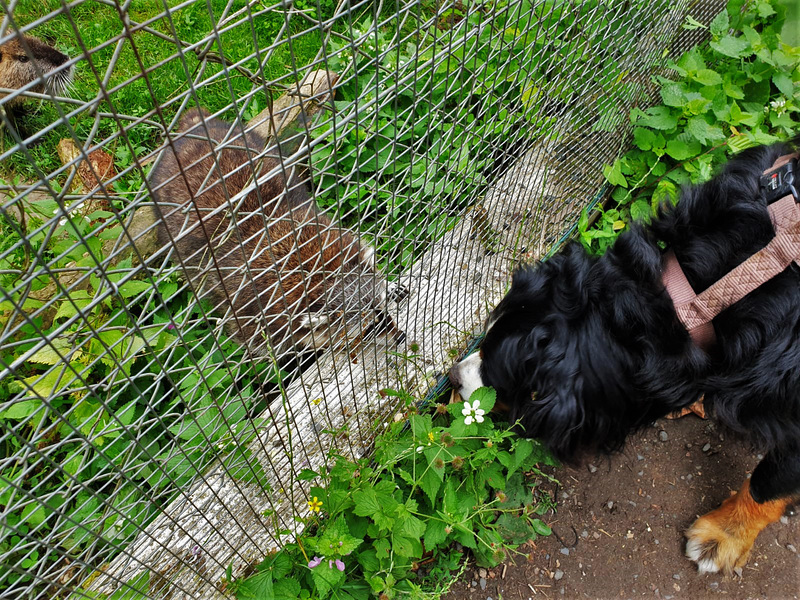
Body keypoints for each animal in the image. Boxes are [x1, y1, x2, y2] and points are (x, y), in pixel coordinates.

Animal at [148, 108, 406, 358]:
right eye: (370, 328)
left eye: (382, 309)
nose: (401, 337)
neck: (321, 275)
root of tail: (193, 129)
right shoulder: (251, 310)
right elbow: (264, 344)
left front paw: (390, 285)